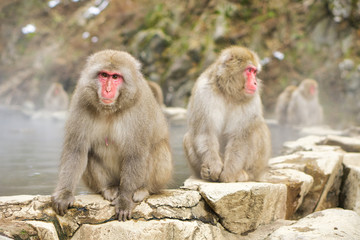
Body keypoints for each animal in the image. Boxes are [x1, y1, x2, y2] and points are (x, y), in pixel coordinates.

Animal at [51, 49, 173, 221]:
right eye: (104, 75)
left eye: (115, 77)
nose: (107, 90)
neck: (111, 109)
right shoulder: (81, 100)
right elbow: (76, 149)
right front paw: (64, 193)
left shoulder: (139, 109)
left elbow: (135, 155)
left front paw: (124, 200)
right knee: (89, 154)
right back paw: (108, 188)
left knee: (158, 150)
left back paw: (143, 189)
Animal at [184, 46, 272, 183]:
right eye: (249, 70)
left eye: (255, 72)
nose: (255, 83)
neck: (228, 92)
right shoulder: (203, 92)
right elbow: (205, 133)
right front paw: (214, 167)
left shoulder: (252, 99)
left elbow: (240, 137)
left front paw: (229, 174)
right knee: (189, 136)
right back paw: (204, 172)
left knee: (256, 130)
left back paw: (244, 174)